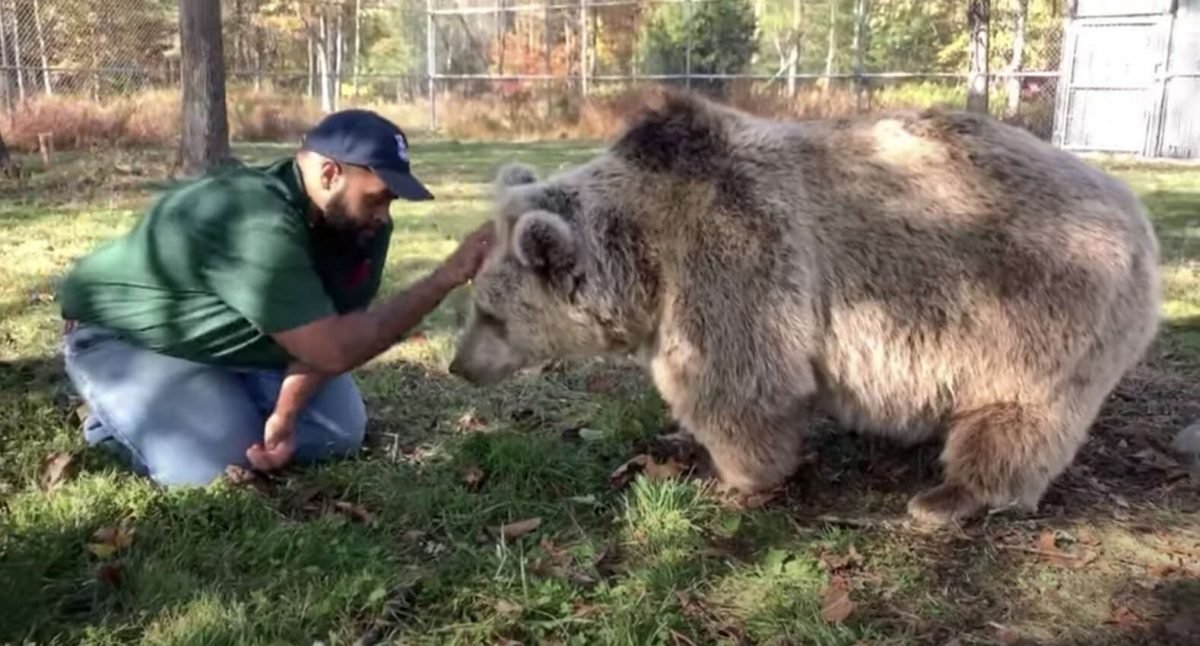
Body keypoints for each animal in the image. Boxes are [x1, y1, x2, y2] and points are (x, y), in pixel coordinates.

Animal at [448, 89, 1161, 523]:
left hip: (1029, 308)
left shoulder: (733, 260)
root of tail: (1134, 212)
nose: (459, 365)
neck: (644, 256)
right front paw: (681, 441)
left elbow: (739, 385)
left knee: (1016, 416)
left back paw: (949, 496)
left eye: (490, 314)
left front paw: (732, 474)